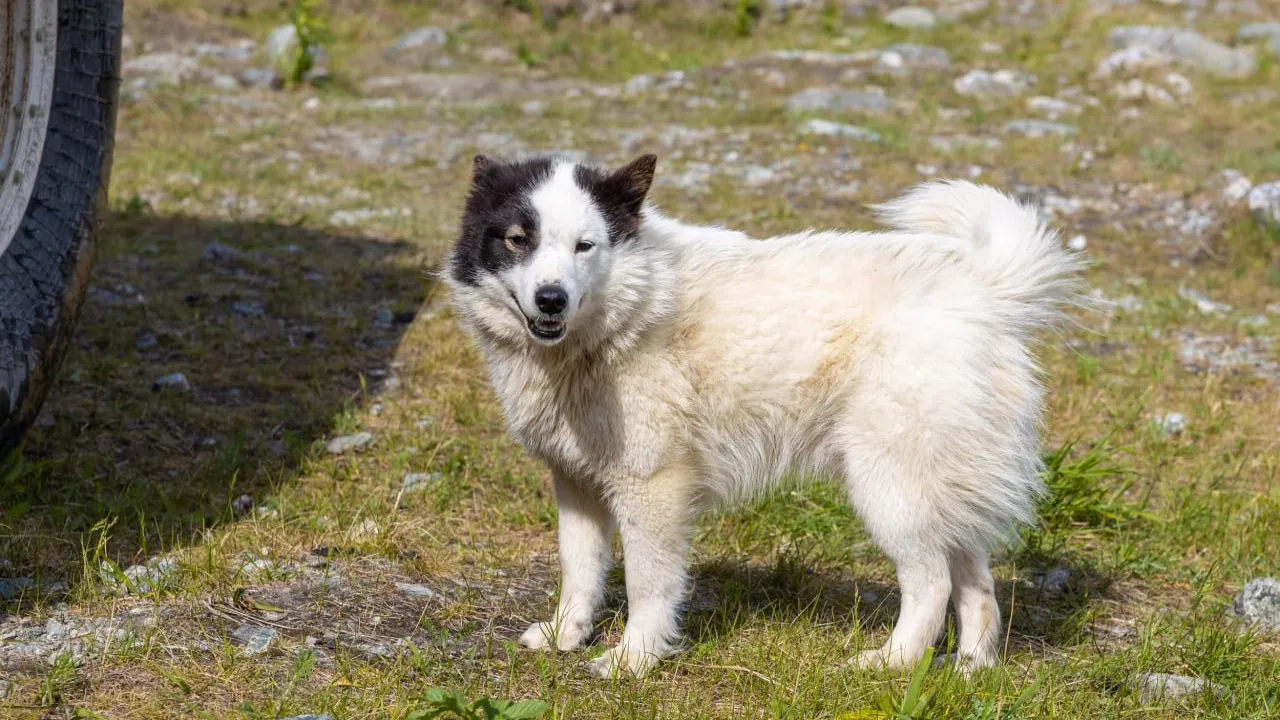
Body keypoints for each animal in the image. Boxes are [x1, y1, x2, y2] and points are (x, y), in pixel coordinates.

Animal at [445, 154, 1085, 676]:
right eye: (518, 240)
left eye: (585, 245)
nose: (551, 299)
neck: (622, 318)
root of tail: (985, 292)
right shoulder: (576, 483)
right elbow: (579, 568)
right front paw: (566, 635)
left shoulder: (652, 490)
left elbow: (648, 584)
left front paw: (633, 660)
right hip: (940, 483)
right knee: (977, 582)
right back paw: (971, 667)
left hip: (890, 488)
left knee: (931, 583)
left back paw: (890, 663)